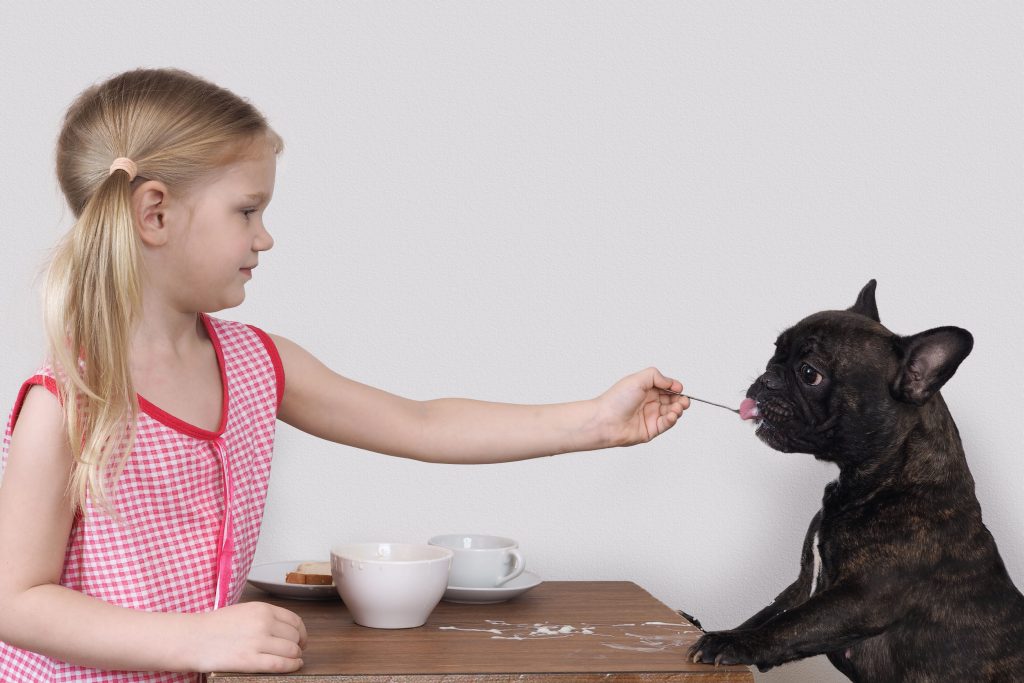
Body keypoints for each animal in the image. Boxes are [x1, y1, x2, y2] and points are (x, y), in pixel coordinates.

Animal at [688, 280, 1024, 679]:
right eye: (775, 351)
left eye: (809, 373)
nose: (767, 378)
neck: (884, 476)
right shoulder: (802, 587)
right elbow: (770, 615)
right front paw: (720, 630)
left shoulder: (860, 598)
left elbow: (788, 625)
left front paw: (731, 643)